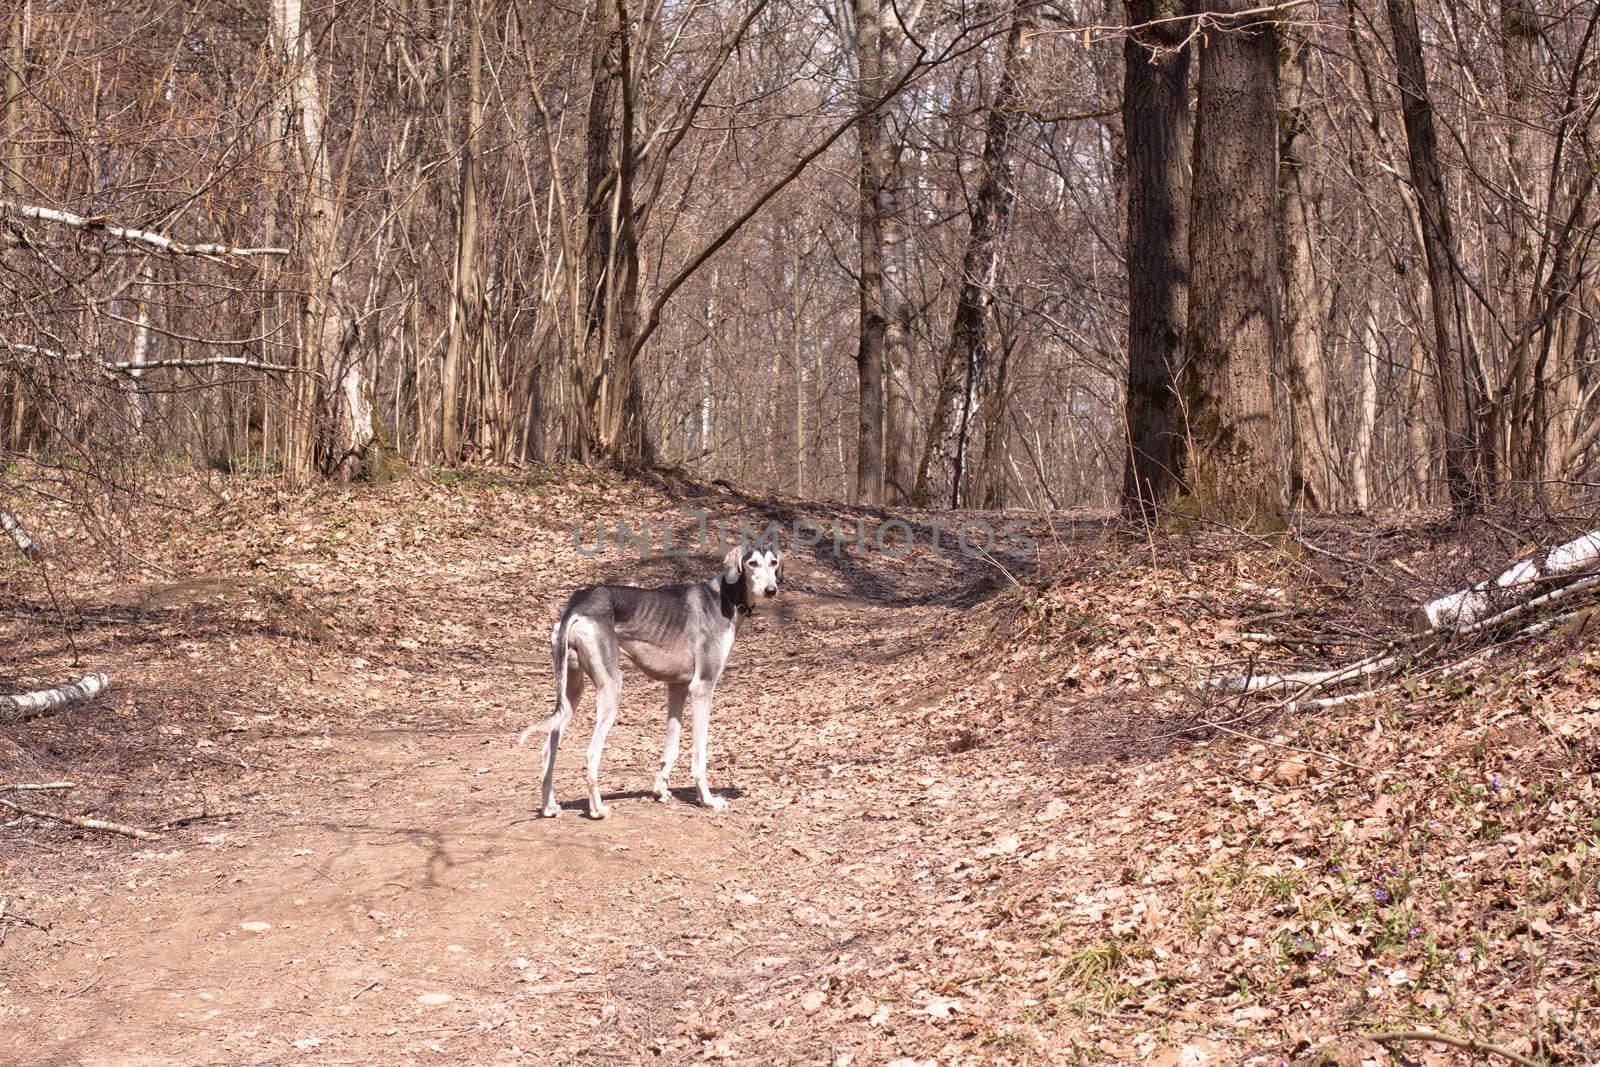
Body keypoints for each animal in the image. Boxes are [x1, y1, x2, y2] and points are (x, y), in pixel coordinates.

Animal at [518, 543, 780, 819]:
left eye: (773, 562)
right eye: (751, 563)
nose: (771, 590)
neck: (725, 597)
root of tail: (577, 605)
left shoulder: (677, 688)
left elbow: (671, 748)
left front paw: (659, 790)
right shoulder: (702, 687)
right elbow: (699, 754)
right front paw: (707, 799)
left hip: (571, 692)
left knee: (548, 749)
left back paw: (548, 807)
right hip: (611, 688)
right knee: (591, 754)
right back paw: (597, 809)